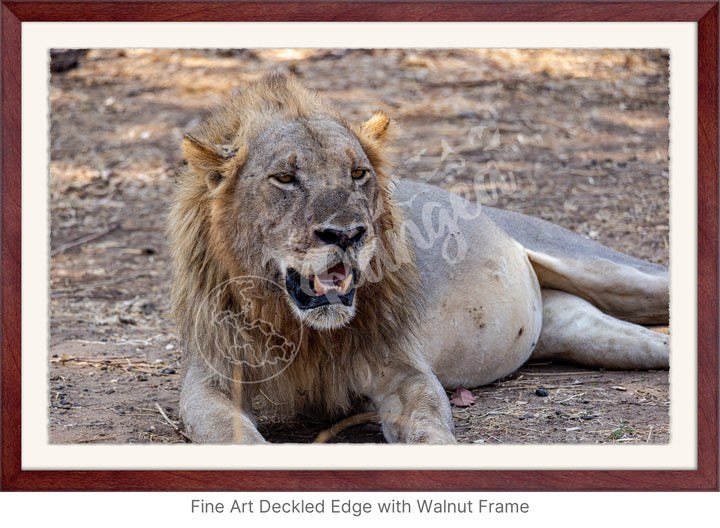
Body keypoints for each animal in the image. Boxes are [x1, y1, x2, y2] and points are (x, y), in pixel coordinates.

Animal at [170, 74, 668, 444]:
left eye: (358, 173)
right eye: (284, 178)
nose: (346, 234)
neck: (302, 331)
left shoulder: (403, 370)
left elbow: (429, 424)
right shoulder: (210, 381)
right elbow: (232, 434)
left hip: (609, 271)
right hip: (587, 333)